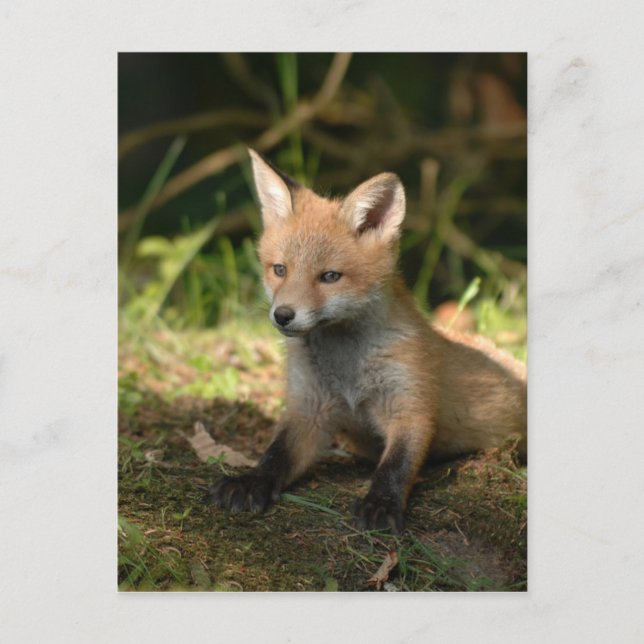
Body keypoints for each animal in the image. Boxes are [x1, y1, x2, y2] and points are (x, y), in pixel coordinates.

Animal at [211, 149, 527, 533]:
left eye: (330, 276)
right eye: (280, 270)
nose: (283, 315)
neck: (347, 367)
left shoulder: (410, 405)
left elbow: (396, 465)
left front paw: (381, 504)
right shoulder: (308, 407)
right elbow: (276, 454)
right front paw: (251, 481)